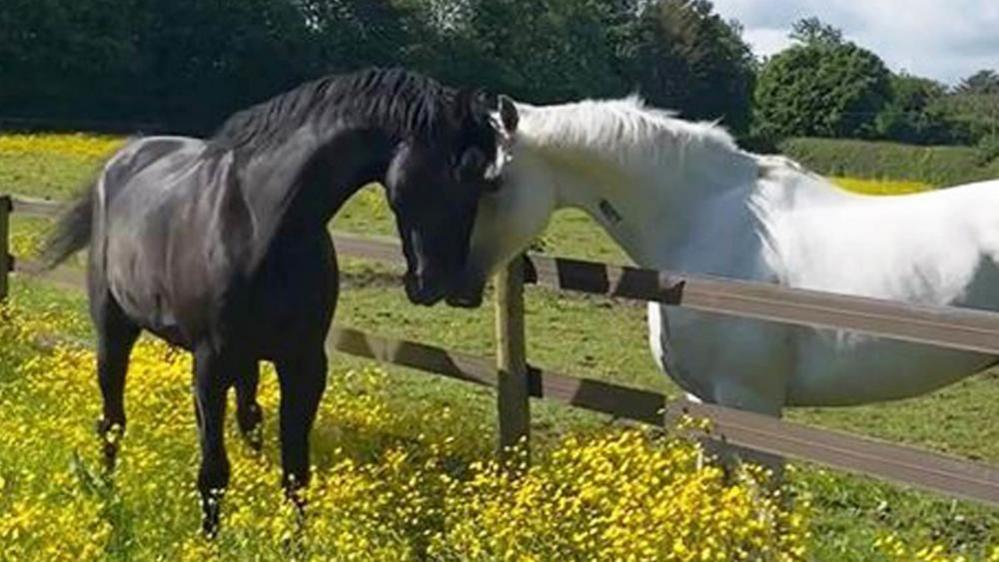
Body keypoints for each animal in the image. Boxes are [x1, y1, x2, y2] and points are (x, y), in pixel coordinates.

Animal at [43, 66, 520, 532]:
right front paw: (211, 541)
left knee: (248, 418)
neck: (261, 223)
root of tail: (121, 161)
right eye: (452, 171)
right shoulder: (211, 364)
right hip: (115, 331)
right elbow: (213, 473)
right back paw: (106, 498)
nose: (442, 284)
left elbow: (296, 474)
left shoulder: (303, 364)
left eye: (487, 182)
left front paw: (293, 541)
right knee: (112, 422)